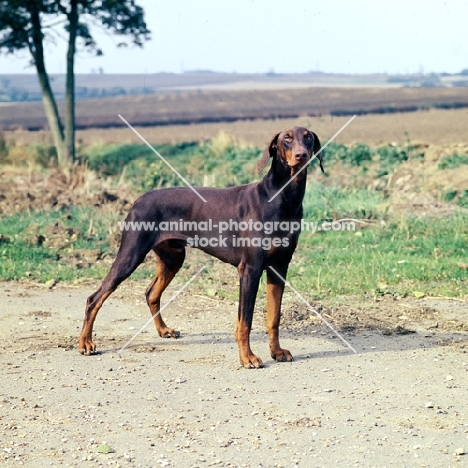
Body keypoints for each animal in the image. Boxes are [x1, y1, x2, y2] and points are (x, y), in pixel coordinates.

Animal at [79, 126, 322, 368]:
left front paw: (277, 351)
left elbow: (274, 316)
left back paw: (163, 330)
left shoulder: (279, 266)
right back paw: (85, 343)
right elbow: (245, 321)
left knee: (151, 293)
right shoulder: (250, 268)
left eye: (308, 137)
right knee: (95, 298)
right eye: (286, 138)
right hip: (131, 254)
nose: (302, 155)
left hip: (173, 258)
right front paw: (248, 357)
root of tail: (138, 200)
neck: (282, 197)